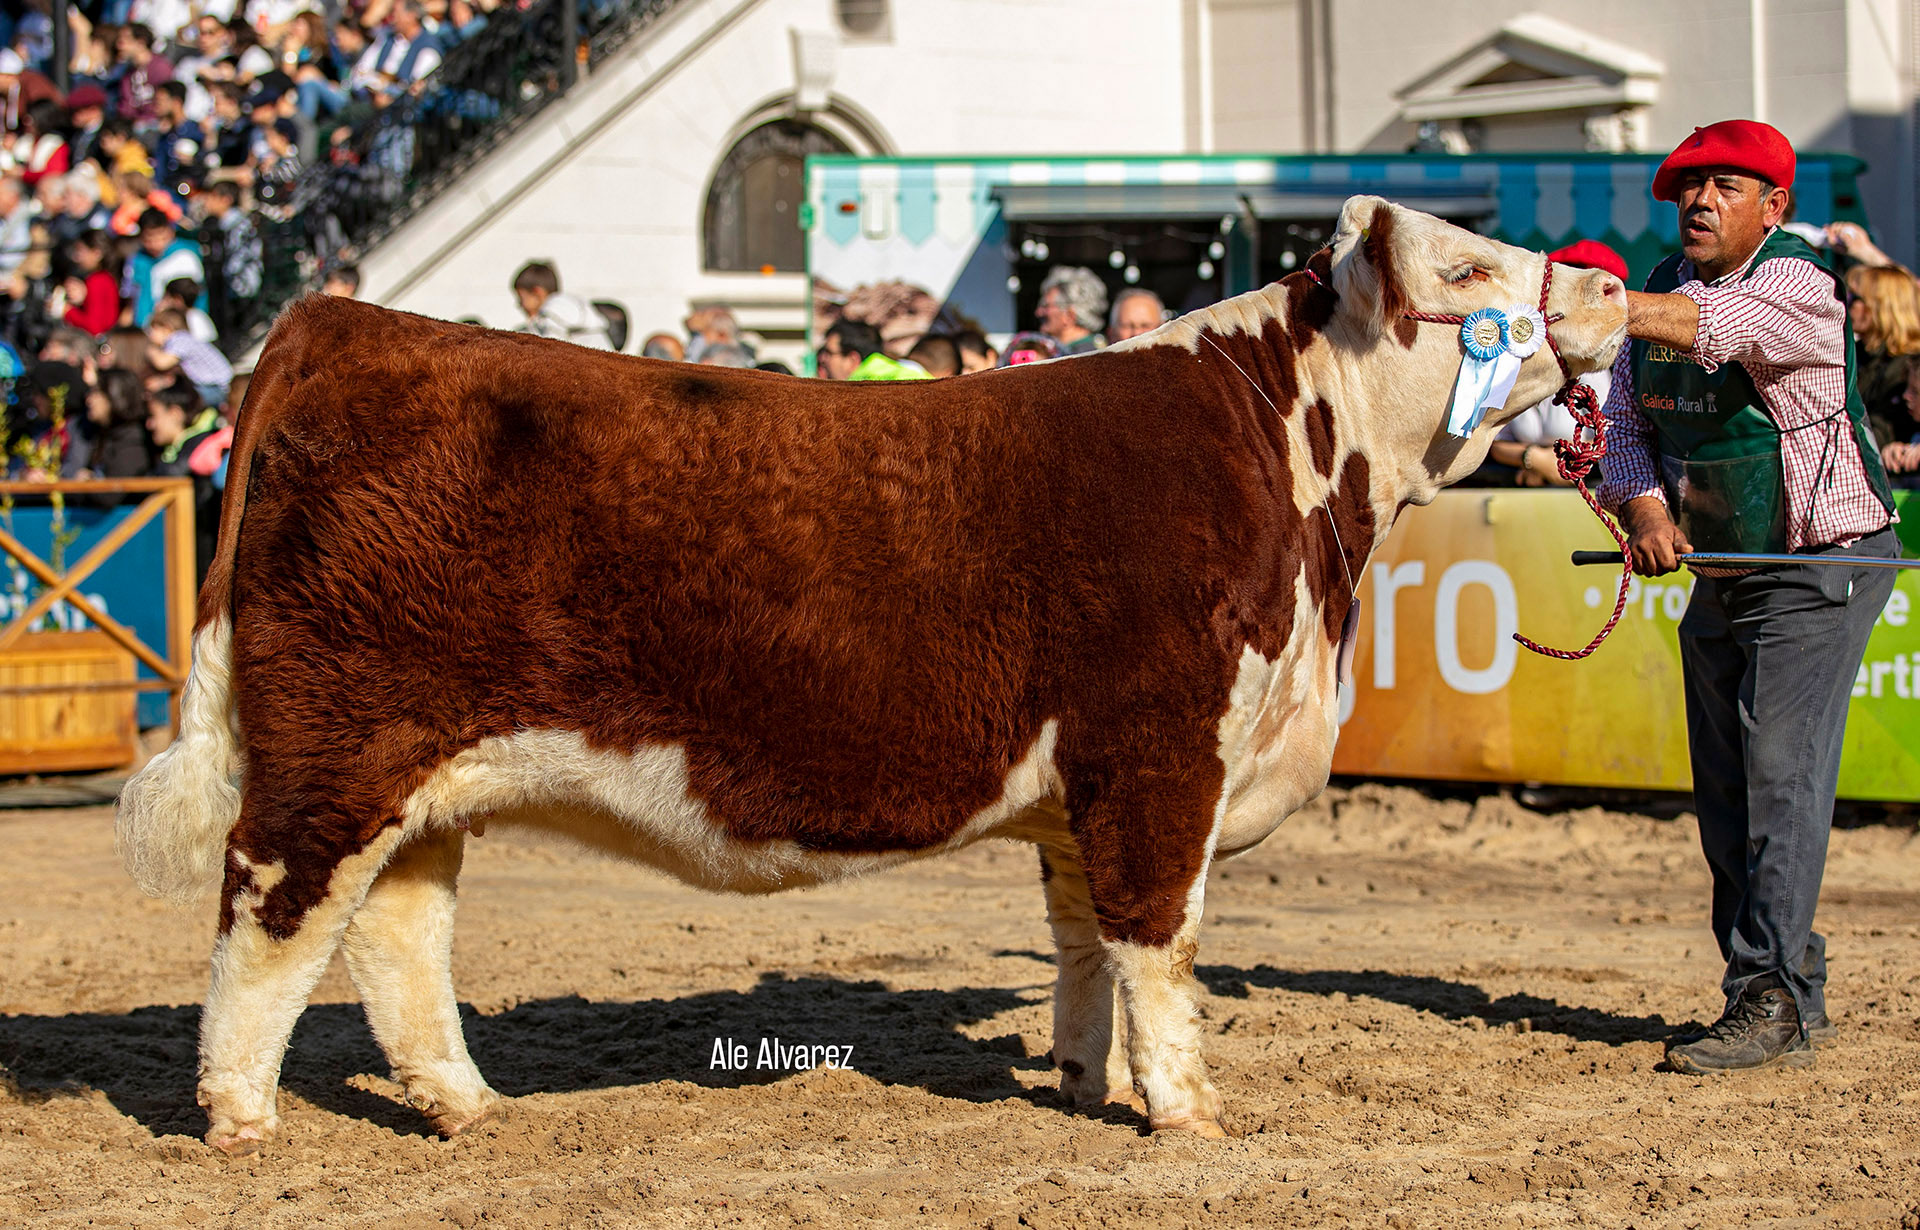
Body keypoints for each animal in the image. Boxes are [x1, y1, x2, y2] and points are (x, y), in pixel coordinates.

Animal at [116, 199, 1620, 1151]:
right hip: (338, 746)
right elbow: (1160, 939)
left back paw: (464, 1105)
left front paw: (1086, 1086)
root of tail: (340, 322)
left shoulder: (1086, 782)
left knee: (394, 929)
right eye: (1469, 273)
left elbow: (1083, 941)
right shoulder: (1158, 750)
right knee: (271, 909)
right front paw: (1188, 1112)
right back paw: (240, 1119)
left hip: (427, 768)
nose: (1606, 282)